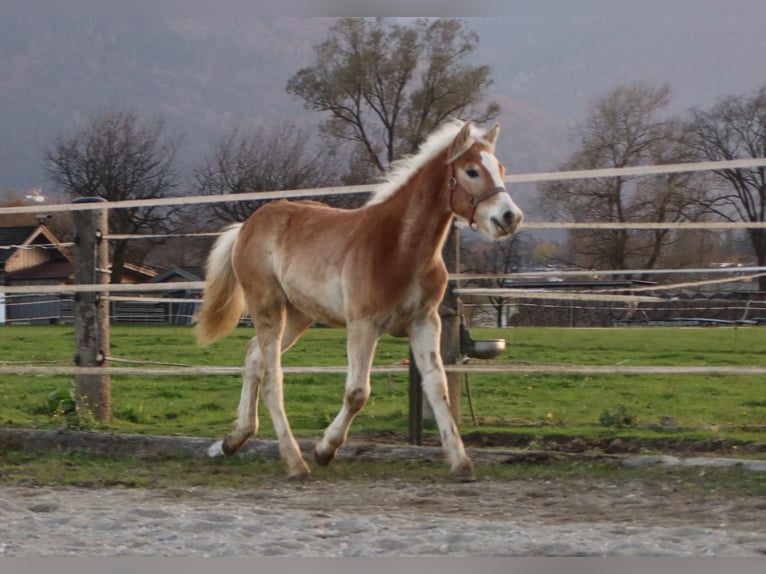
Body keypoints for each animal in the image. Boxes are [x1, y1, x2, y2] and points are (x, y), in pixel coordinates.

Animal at [195, 120, 524, 482]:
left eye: (500, 169)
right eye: (472, 171)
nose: (510, 217)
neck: (400, 247)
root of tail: (245, 227)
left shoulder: (425, 321)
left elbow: (438, 387)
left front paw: (461, 462)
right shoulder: (363, 324)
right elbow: (357, 393)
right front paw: (324, 450)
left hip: (298, 315)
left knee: (253, 355)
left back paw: (233, 440)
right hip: (268, 307)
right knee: (271, 376)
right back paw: (295, 463)